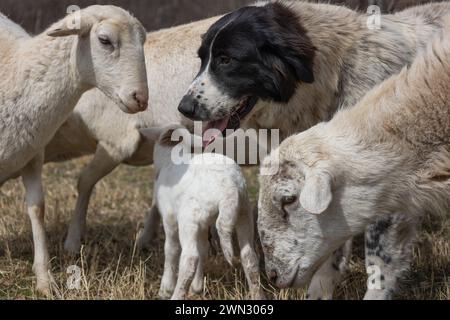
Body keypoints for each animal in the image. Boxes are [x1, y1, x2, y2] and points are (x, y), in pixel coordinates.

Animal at [141, 124, 266, 300]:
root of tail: (229, 189)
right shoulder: (203, 224)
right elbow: (203, 250)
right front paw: (197, 287)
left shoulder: (170, 219)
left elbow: (172, 249)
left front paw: (166, 288)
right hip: (244, 213)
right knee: (249, 256)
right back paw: (257, 295)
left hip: (188, 218)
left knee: (189, 258)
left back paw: (176, 295)